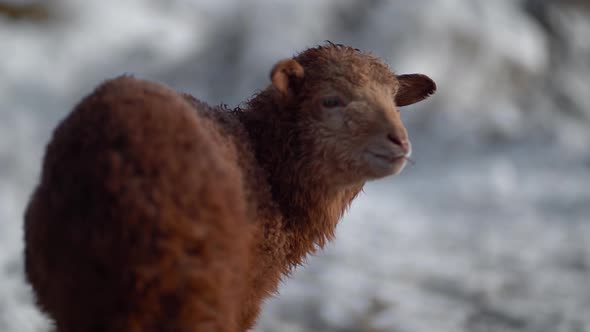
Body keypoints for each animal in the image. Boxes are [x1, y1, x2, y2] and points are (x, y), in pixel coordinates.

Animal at [23, 42, 438, 330]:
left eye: (394, 101)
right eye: (330, 100)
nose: (399, 141)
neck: (268, 169)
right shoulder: (243, 301)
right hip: (197, 294)